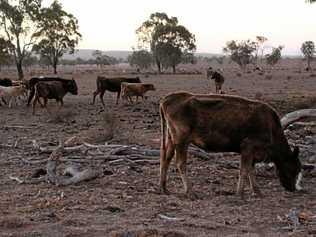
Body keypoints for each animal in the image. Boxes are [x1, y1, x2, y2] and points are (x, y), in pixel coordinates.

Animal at [159, 91, 302, 197]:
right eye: (294, 168)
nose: (292, 188)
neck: (271, 127)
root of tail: (168, 98)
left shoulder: (251, 153)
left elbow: (250, 170)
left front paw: (257, 191)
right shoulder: (248, 147)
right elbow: (244, 170)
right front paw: (240, 193)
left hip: (171, 140)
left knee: (166, 159)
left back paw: (164, 188)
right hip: (182, 141)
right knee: (180, 163)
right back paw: (190, 192)